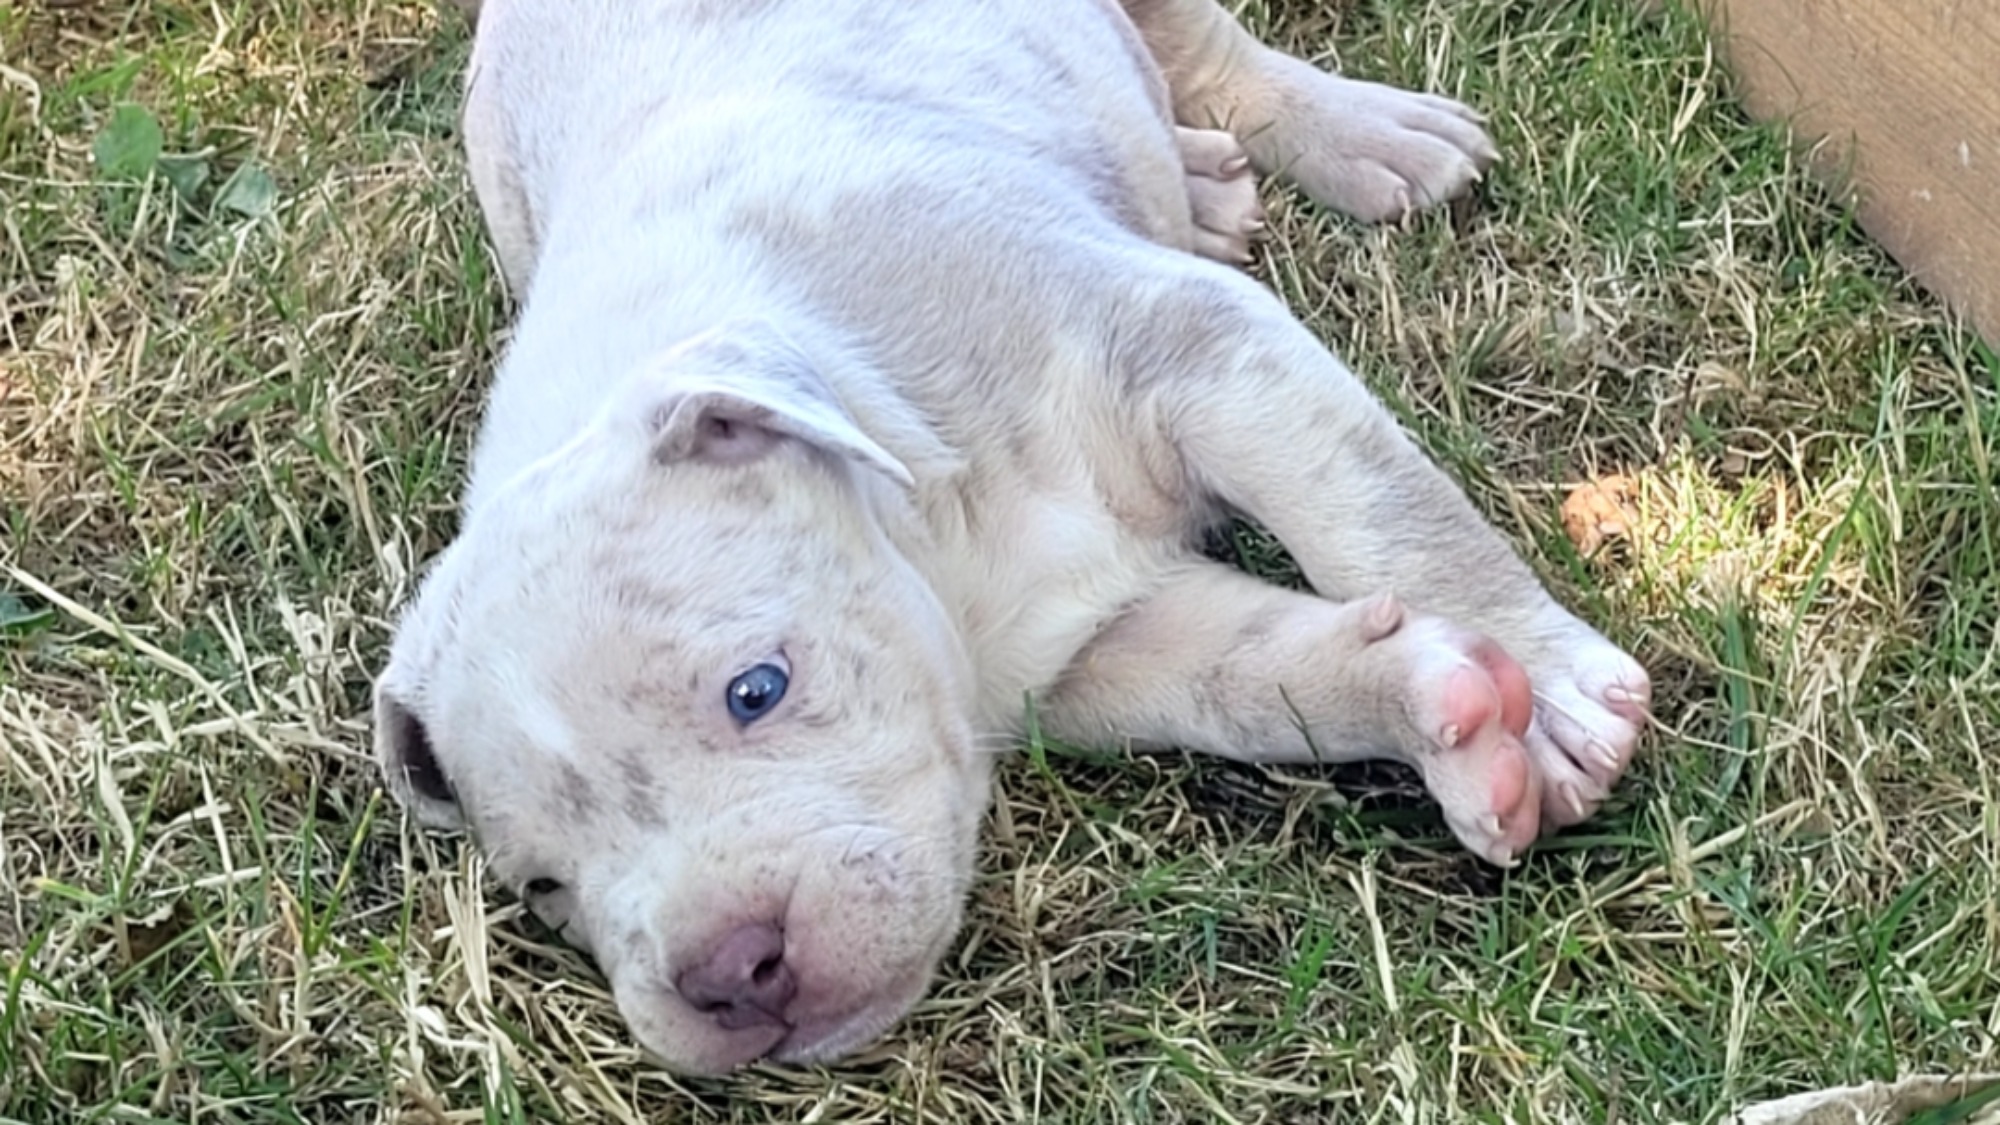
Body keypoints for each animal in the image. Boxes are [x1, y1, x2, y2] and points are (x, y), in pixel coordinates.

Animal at [376, 0, 1656, 1072]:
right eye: (544, 889)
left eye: (756, 690)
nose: (729, 971)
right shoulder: (1105, 654)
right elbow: (1262, 677)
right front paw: (1449, 711)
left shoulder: (1193, 349)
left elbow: (1380, 512)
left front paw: (1550, 697)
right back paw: (1208, 184)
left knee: (1203, 46)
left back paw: (1365, 138)